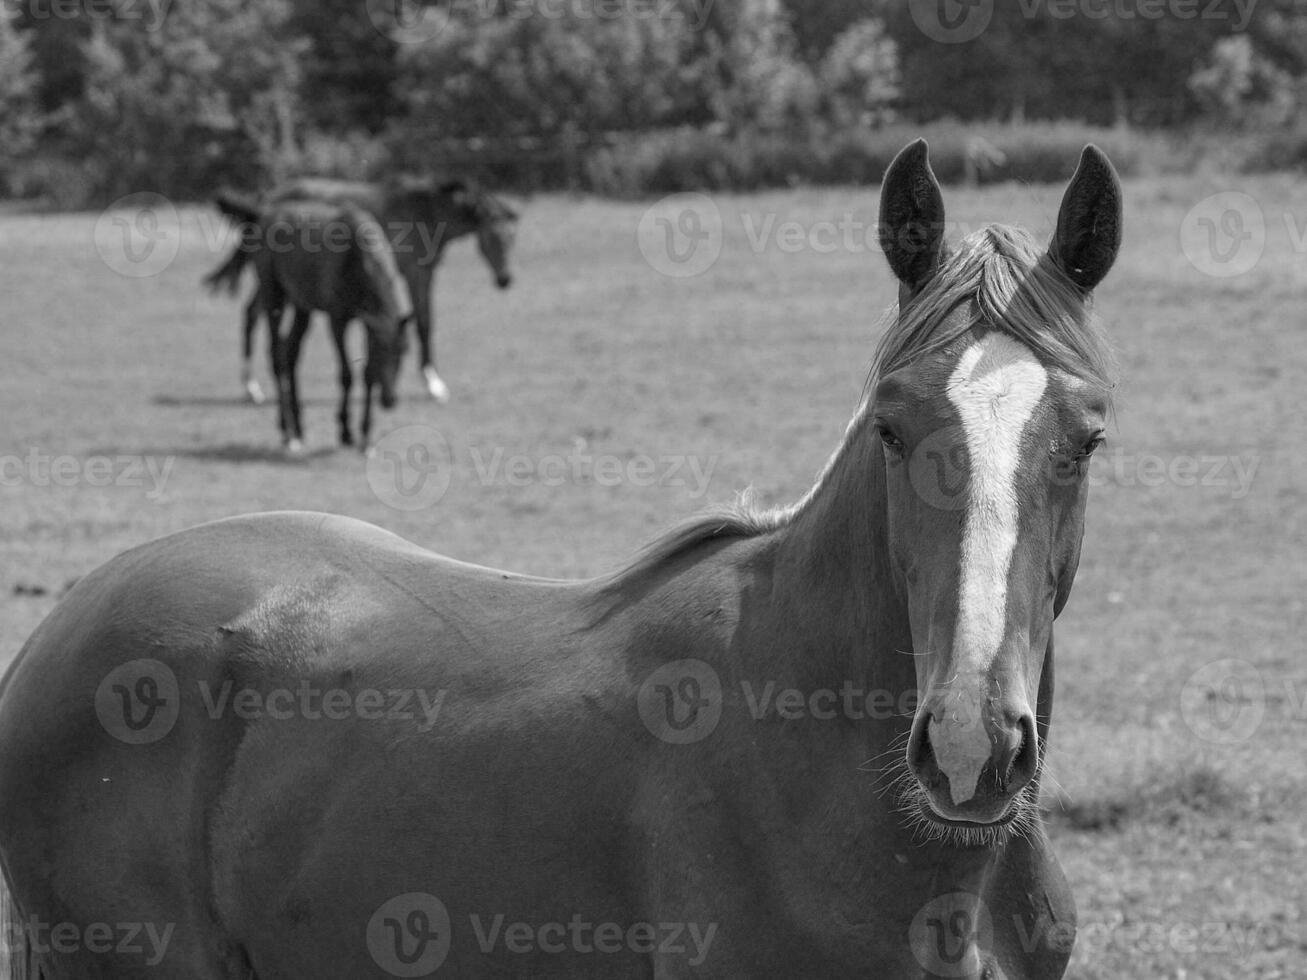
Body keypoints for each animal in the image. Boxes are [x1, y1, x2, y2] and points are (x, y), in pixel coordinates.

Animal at [206, 176, 517, 402]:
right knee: (251, 315)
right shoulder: (415, 274)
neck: (425, 212)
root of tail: (266, 202)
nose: (505, 280)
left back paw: (253, 386)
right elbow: (424, 323)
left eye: (512, 238)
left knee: (251, 313)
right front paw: (434, 384)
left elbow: (421, 322)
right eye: (492, 237)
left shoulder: (420, 275)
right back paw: (252, 387)